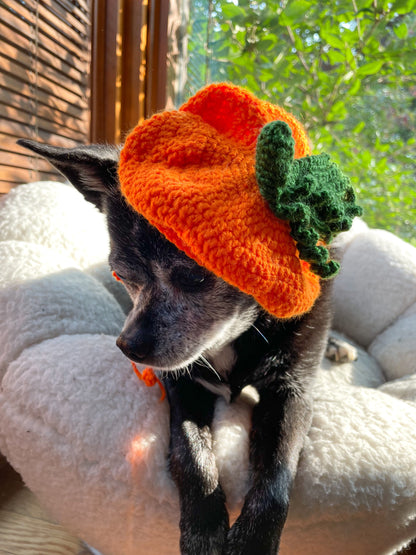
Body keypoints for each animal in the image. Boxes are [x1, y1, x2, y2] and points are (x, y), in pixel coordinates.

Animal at [17, 138, 338, 552]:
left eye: (194, 277)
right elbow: (191, 452)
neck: (236, 335)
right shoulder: (183, 385)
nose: (128, 346)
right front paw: (203, 527)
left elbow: (278, 470)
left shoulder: (291, 392)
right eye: (121, 275)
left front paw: (252, 541)